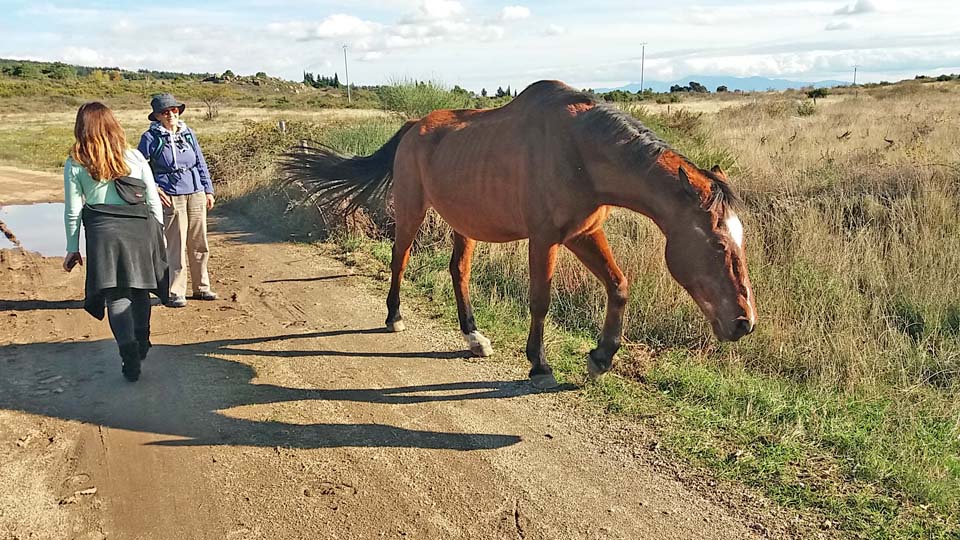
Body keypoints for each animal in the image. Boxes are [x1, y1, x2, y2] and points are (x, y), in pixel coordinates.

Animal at [284, 80, 756, 388]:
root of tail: (414, 125)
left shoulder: (584, 232)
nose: (744, 323)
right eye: (717, 243)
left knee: (458, 271)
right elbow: (540, 300)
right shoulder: (545, 238)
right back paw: (394, 317)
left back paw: (473, 337)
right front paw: (539, 364)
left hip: (465, 222)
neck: (580, 150)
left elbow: (619, 285)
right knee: (400, 259)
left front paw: (601, 358)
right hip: (412, 210)